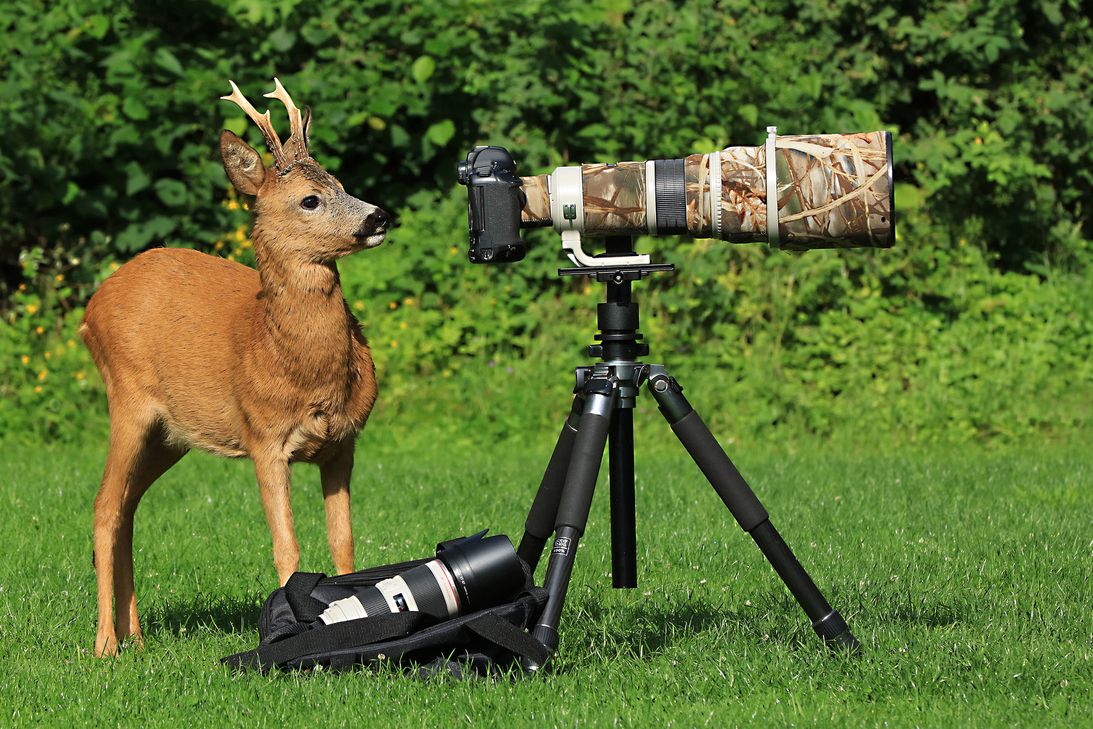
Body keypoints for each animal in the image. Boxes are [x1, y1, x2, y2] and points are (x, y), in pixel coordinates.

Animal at [80, 79, 389, 657]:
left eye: (342, 183)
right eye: (310, 199)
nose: (378, 216)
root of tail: (90, 309)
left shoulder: (343, 443)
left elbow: (344, 544)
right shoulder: (263, 436)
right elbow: (287, 547)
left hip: (170, 436)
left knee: (129, 507)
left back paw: (137, 637)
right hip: (126, 400)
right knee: (105, 506)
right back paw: (106, 644)